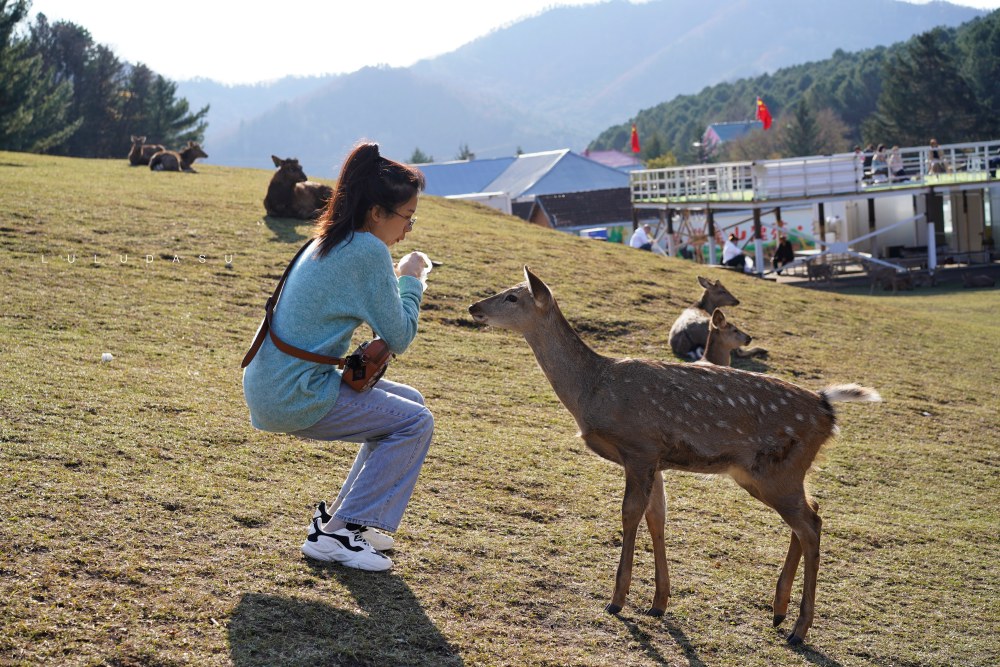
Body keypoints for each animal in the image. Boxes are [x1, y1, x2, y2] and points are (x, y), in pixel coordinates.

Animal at [464, 268, 880, 648]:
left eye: (512, 297)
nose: (474, 307)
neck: (591, 390)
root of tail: (827, 409)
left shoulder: (638, 447)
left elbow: (630, 514)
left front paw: (617, 601)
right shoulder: (656, 459)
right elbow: (657, 518)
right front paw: (658, 603)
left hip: (778, 471)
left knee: (810, 524)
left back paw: (799, 628)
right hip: (767, 474)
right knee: (812, 513)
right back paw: (778, 612)